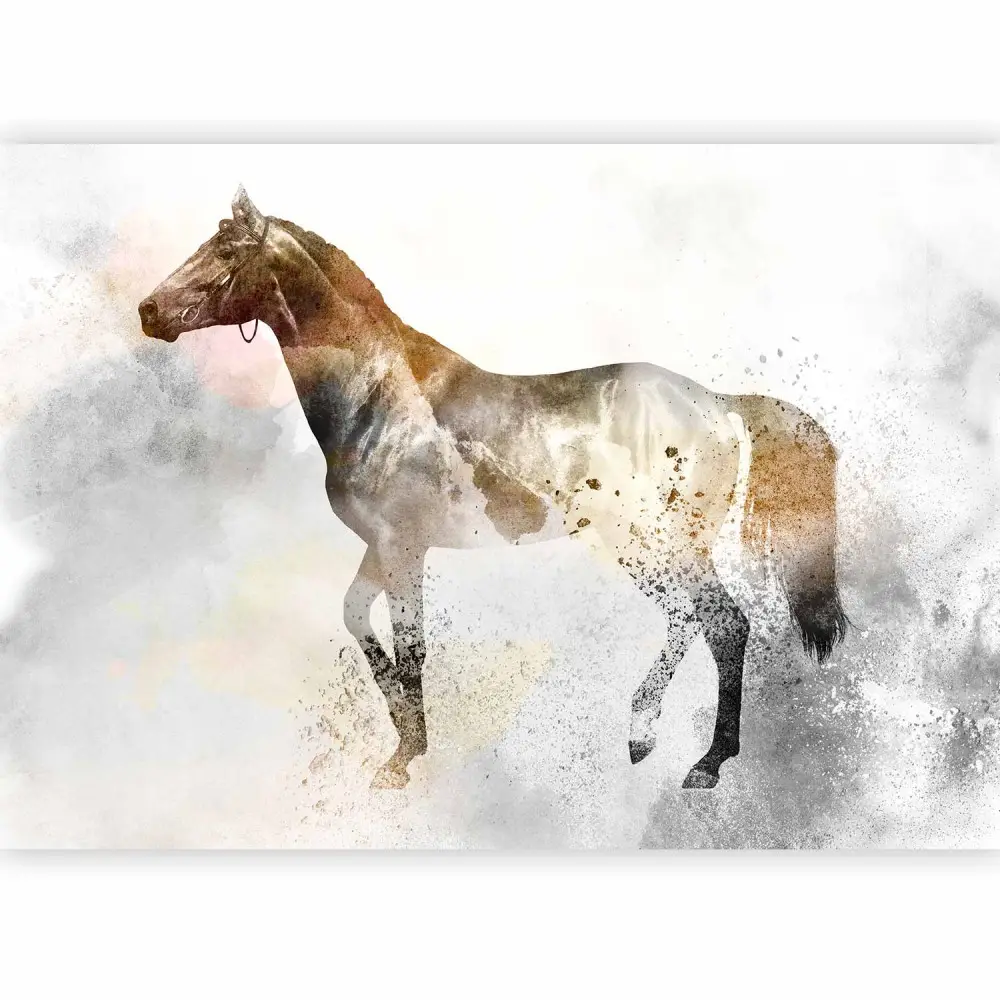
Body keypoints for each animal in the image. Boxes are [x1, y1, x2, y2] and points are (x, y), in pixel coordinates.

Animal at [139, 186, 849, 791]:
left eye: (226, 251)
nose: (148, 312)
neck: (377, 398)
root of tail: (722, 405)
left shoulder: (405, 549)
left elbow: (413, 647)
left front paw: (403, 761)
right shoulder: (381, 547)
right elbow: (357, 621)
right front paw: (402, 738)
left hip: (663, 545)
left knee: (724, 625)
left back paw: (704, 762)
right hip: (645, 548)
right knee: (691, 621)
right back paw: (643, 737)